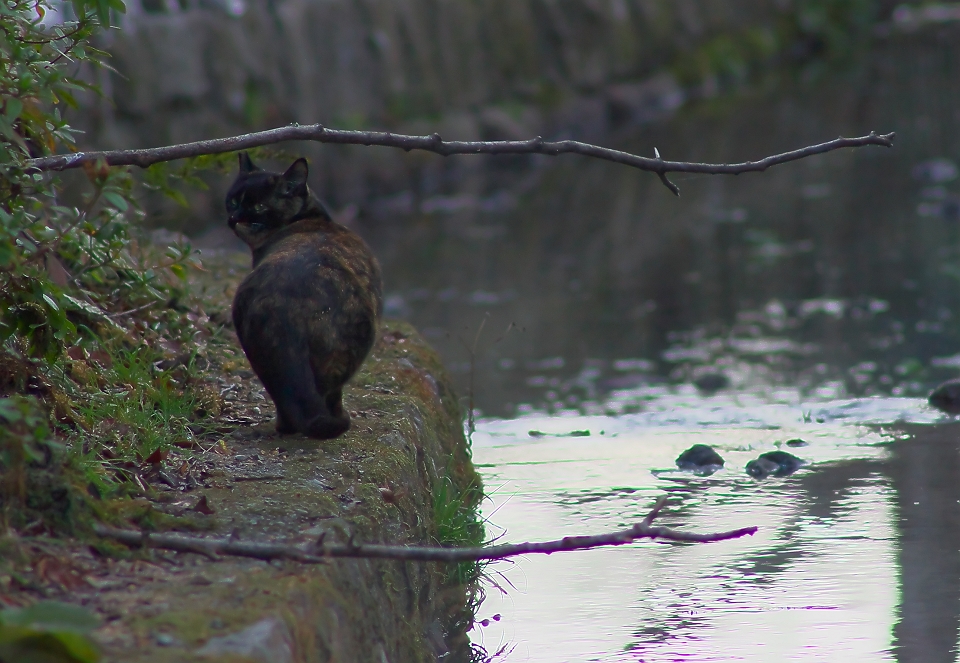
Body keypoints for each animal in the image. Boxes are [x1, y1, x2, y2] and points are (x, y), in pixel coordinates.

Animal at [229, 152, 382, 438]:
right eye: (233, 201)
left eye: (258, 207)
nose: (234, 217)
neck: (310, 219)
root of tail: (286, 306)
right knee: (321, 394)